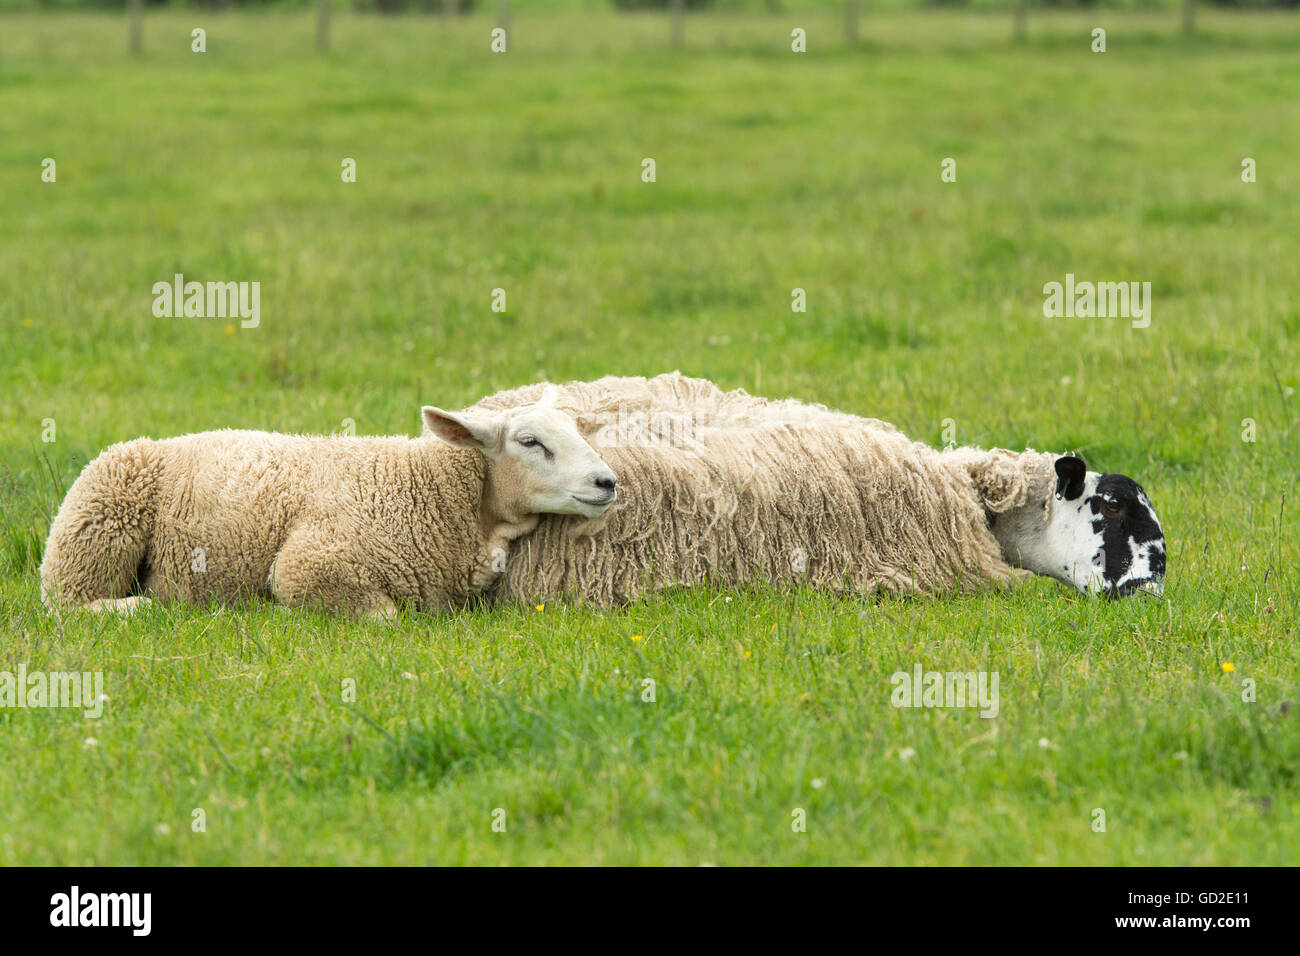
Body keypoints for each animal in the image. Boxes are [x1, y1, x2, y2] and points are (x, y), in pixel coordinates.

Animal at [43, 390, 621, 621]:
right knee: (66, 602)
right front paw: (273, 612)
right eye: (530, 442)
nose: (608, 482)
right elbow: (386, 617)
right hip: (97, 526)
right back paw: (138, 607)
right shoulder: (310, 563)